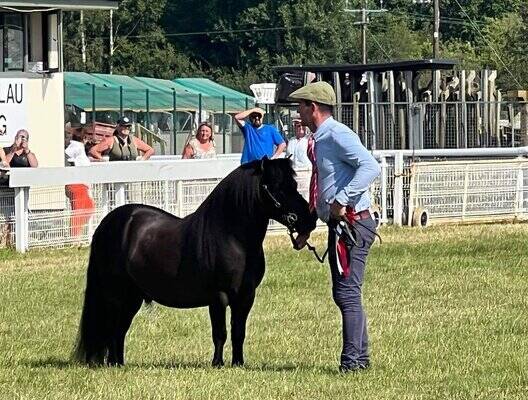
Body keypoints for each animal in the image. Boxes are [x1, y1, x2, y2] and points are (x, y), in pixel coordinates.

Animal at [73, 158, 314, 368]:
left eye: (293, 185)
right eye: (275, 187)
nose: (309, 220)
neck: (231, 236)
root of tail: (108, 223)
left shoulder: (246, 296)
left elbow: (239, 332)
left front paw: (238, 363)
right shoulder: (219, 296)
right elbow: (220, 333)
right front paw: (217, 364)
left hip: (132, 296)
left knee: (119, 330)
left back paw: (119, 364)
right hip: (115, 294)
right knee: (112, 327)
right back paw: (113, 364)